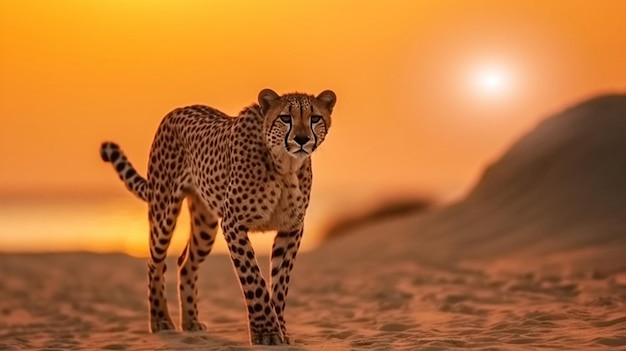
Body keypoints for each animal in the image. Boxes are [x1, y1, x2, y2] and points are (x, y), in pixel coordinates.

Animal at [100, 88, 334, 346]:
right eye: (285, 118)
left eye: (315, 118)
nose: (302, 139)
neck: (285, 165)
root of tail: (179, 109)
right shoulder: (233, 224)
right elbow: (254, 279)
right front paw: (266, 332)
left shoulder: (291, 228)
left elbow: (280, 284)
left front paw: (280, 329)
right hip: (163, 211)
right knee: (155, 262)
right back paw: (161, 321)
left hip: (205, 226)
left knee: (186, 263)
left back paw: (191, 322)